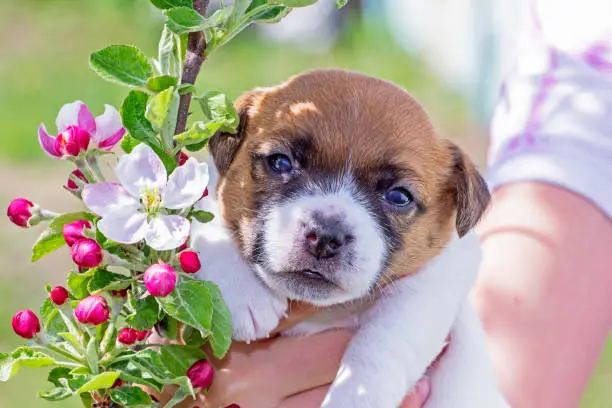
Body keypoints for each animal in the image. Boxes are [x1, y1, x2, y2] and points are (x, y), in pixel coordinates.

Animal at [194, 70, 510, 408]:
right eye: (281, 163)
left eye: (399, 196)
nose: (324, 237)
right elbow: (203, 224)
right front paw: (243, 289)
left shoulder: (438, 277)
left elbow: (386, 339)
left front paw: (355, 394)